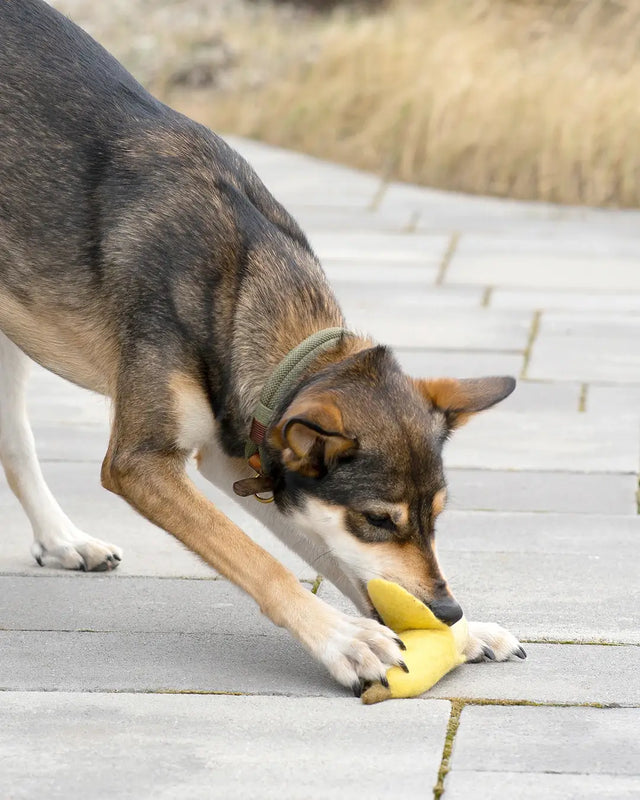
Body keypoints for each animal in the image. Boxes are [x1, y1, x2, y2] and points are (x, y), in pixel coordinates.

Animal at [0, 0, 524, 692]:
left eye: (435, 516)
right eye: (379, 520)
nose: (447, 609)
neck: (242, 290)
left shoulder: (240, 458)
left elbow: (341, 561)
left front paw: (460, 636)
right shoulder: (142, 464)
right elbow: (262, 563)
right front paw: (344, 640)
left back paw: (61, 539)